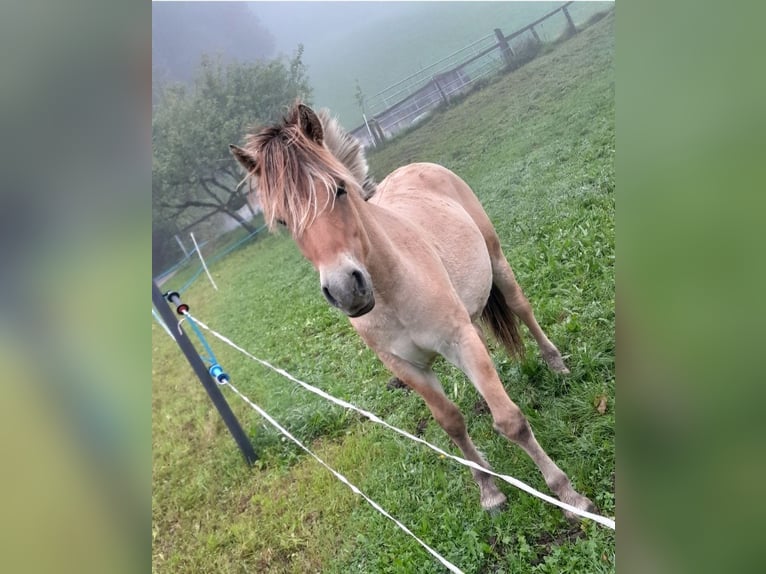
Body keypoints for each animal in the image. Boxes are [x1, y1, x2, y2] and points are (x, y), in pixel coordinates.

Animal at [230, 102, 596, 519]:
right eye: (283, 221)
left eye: (339, 190)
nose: (345, 289)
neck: (393, 289)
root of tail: (418, 167)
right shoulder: (407, 367)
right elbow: (451, 423)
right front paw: (489, 491)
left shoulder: (459, 340)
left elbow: (511, 421)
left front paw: (568, 495)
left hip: (497, 262)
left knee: (523, 310)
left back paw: (557, 366)